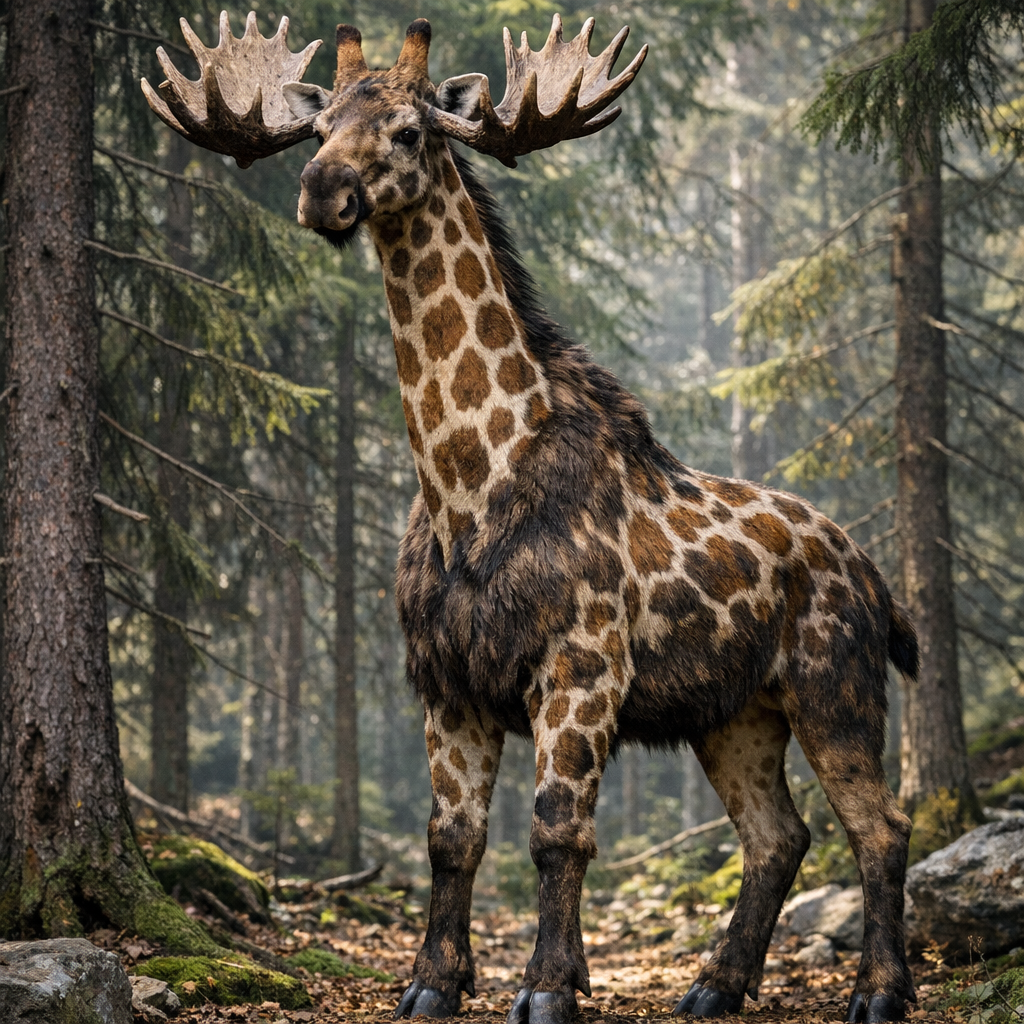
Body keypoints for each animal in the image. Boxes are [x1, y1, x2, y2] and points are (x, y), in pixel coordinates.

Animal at [143, 12, 917, 1024]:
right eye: (316, 130)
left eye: (410, 131)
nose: (322, 192)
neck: (463, 482)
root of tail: (879, 587)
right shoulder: (445, 679)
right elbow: (451, 836)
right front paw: (434, 981)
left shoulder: (580, 663)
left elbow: (558, 832)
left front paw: (550, 986)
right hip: (734, 712)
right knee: (778, 834)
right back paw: (716, 984)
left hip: (835, 685)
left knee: (881, 824)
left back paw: (879, 991)